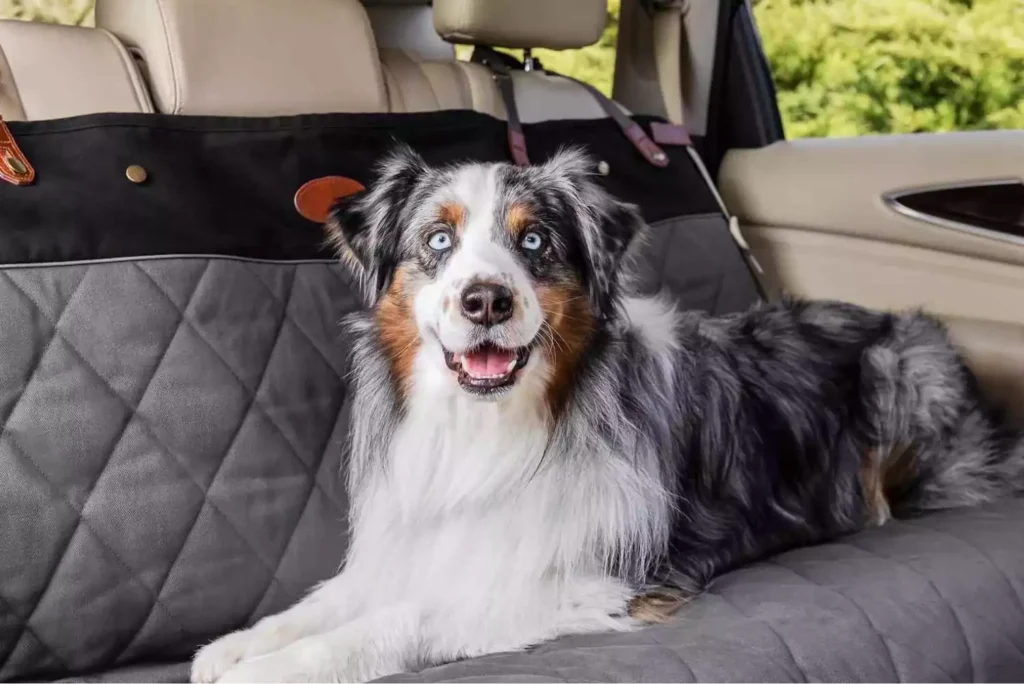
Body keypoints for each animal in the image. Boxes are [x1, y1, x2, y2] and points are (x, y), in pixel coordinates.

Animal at [193, 147, 1024, 679]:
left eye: (534, 240)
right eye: (438, 239)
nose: (486, 300)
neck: (491, 428)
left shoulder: (597, 580)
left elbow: (408, 615)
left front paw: (273, 670)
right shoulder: (421, 541)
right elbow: (333, 598)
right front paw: (237, 647)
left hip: (902, 369)